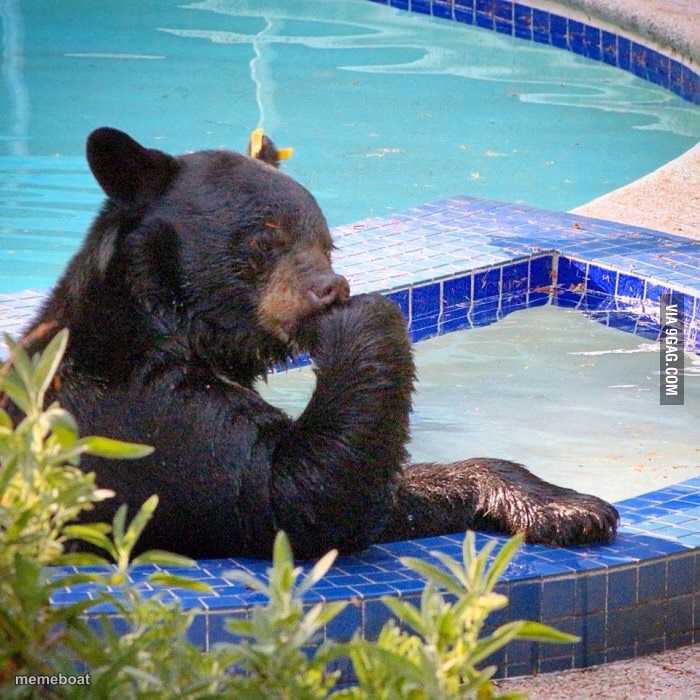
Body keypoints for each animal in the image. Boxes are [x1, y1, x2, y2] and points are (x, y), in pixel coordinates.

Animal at [10, 127, 618, 559]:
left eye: (327, 241)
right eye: (264, 237)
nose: (331, 288)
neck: (167, 325)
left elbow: (386, 494)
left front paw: (569, 506)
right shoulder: (143, 416)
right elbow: (296, 498)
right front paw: (364, 318)